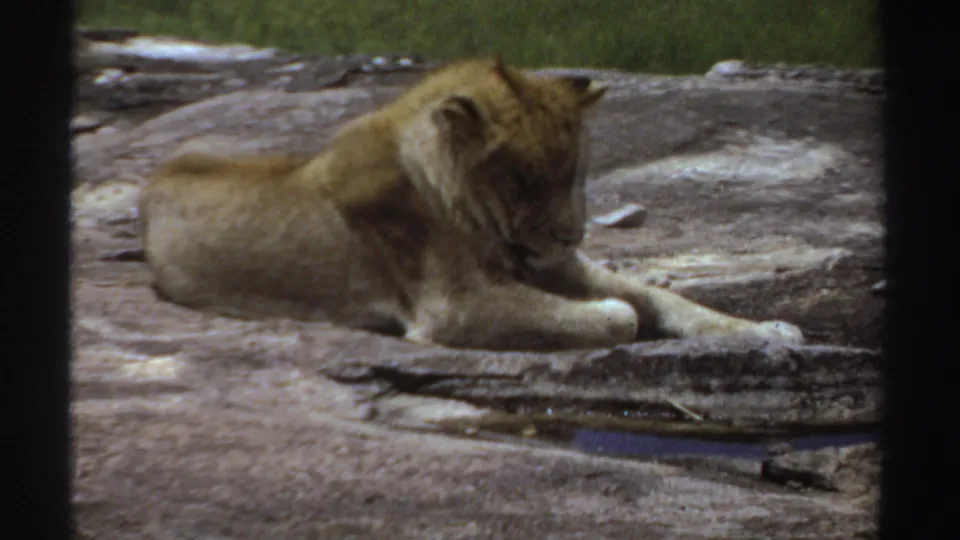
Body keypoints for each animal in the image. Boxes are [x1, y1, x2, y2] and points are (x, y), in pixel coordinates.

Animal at [138, 57, 803, 351]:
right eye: (524, 182)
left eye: (573, 174)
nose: (572, 235)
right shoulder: (453, 308)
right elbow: (621, 313)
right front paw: (615, 318)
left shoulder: (554, 265)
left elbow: (662, 297)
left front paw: (767, 329)